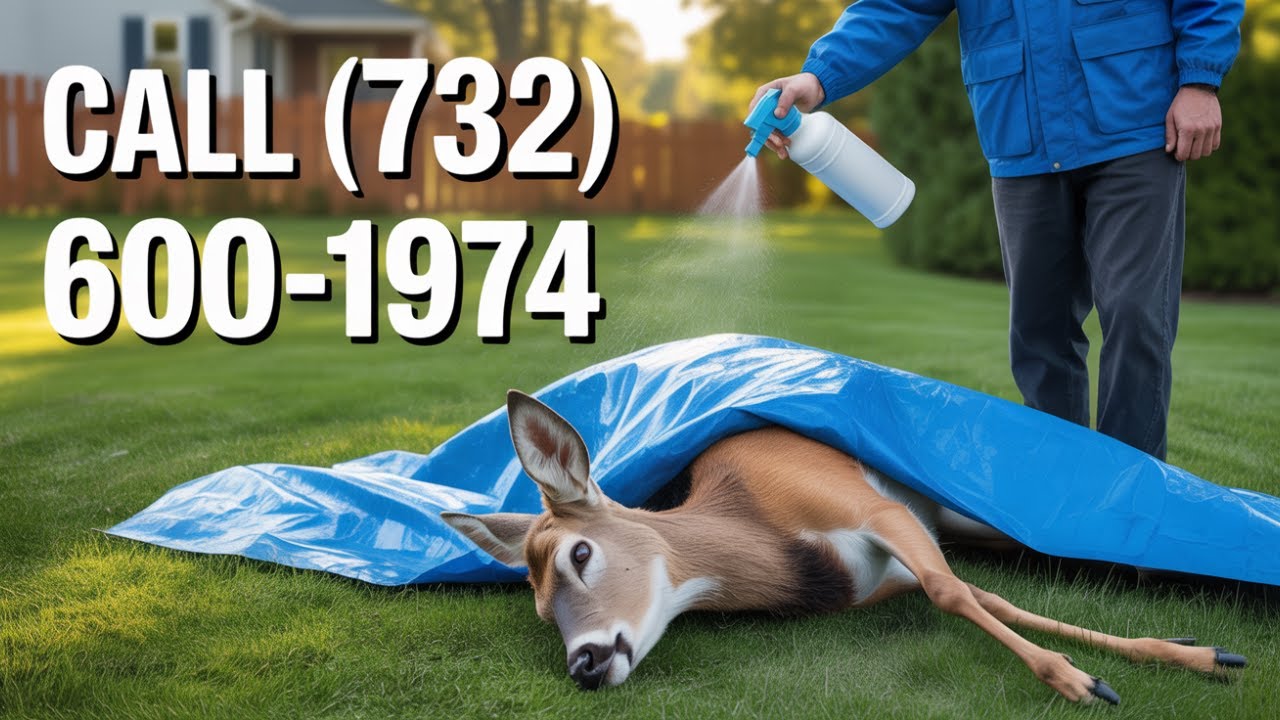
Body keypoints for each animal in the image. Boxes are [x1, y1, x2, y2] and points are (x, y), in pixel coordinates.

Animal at [441, 391, 1247, 704]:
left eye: (580, 554)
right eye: (541, 610)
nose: (584, 663)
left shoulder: (876, 509)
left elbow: (960, 593)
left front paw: (1084, 682)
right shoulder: (891, 569)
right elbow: (987, 594)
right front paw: (1189, 654)